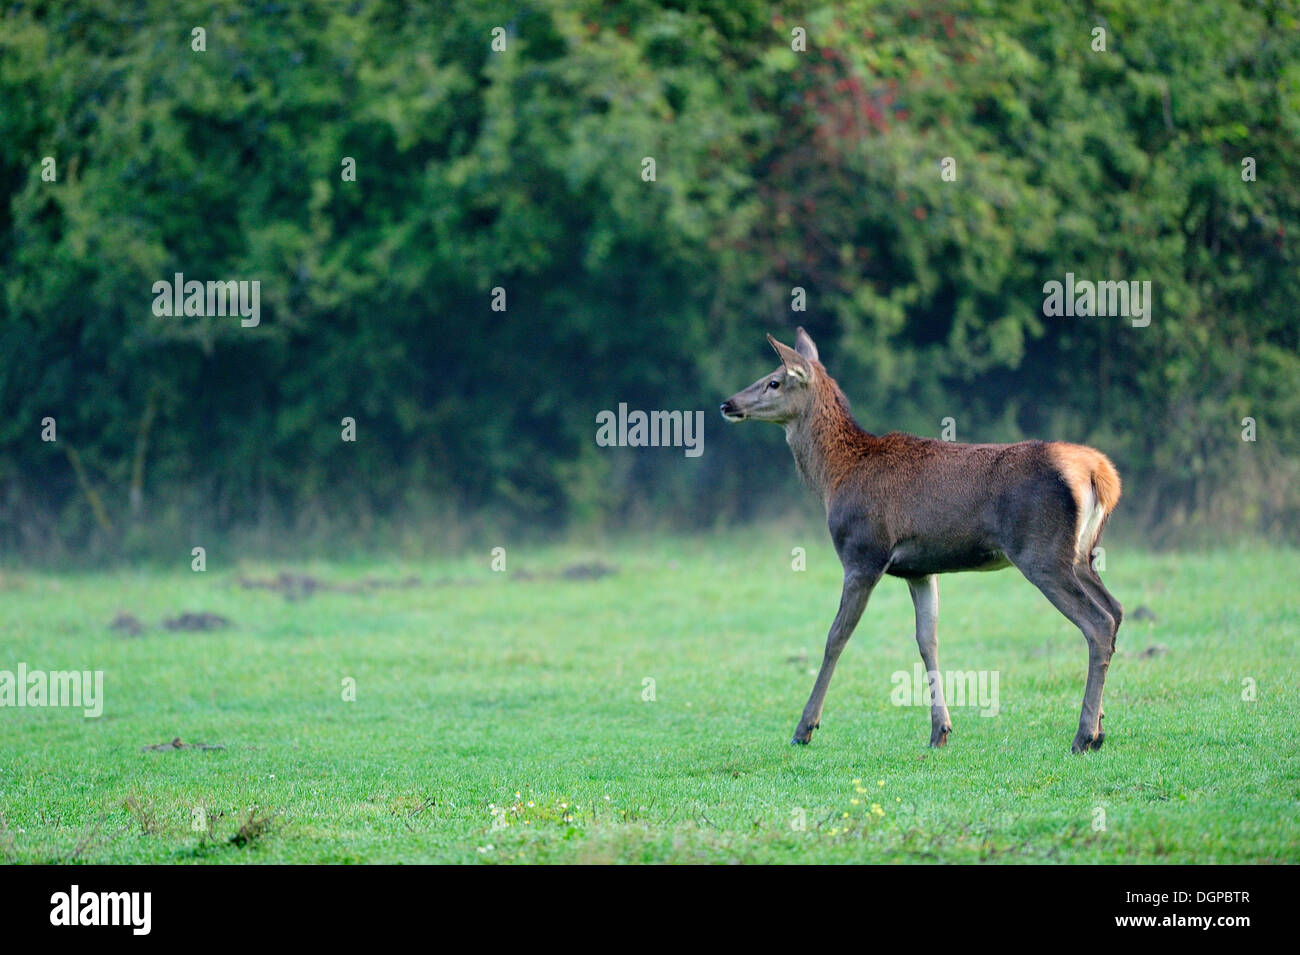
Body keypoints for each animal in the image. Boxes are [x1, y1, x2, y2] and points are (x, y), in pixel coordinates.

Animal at [717, 328, 1123, 753]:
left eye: (774, 381)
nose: (728, 403)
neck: (835, 477)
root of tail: (1099, 472)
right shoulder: (920, 569)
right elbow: (927, 639)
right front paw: (940, 729)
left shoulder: (863, 553)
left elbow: (836, 637)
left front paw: (804, 727)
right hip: (1083, 555)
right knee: (1117, 610)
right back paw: (1100, 726)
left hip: (1041, 552)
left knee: (1098, 622)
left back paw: (1084, 735)